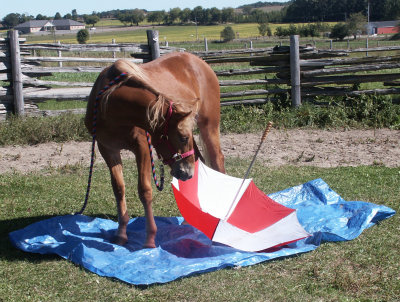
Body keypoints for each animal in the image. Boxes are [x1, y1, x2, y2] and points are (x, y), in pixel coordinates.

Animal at [84, 52, 225, 249]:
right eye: (183, 137)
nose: (186, 172)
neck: (109, 107)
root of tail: (199, 62)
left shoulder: (142, 147)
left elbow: (145, 190)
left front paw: (150, 239)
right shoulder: (107, 149)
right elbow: (119, 189)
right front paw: (121, 233)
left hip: (209, 126)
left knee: (217, 160)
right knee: (199, 160)